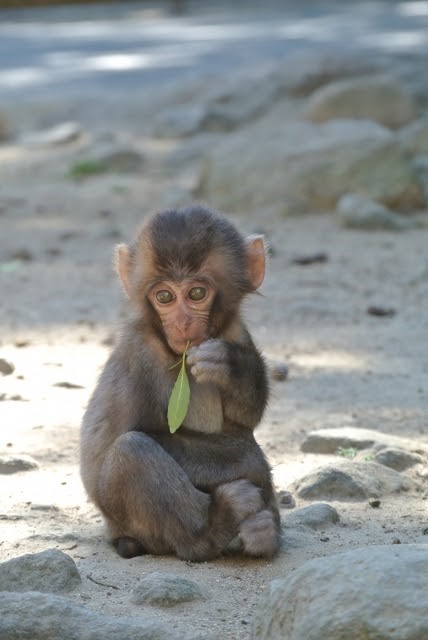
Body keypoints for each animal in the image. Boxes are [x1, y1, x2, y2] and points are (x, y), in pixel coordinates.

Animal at [80, 204, 280, 560]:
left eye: (197, 293)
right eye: (164, 296)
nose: (183, 322)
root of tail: (114, 533)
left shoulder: (234, 331)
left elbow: (245, 418)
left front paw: (230, 366)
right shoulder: (141, 355)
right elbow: (108, 447)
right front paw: (252, 461)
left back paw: (261, 531)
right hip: (136, 526)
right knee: (130, 451)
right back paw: (213, 530)